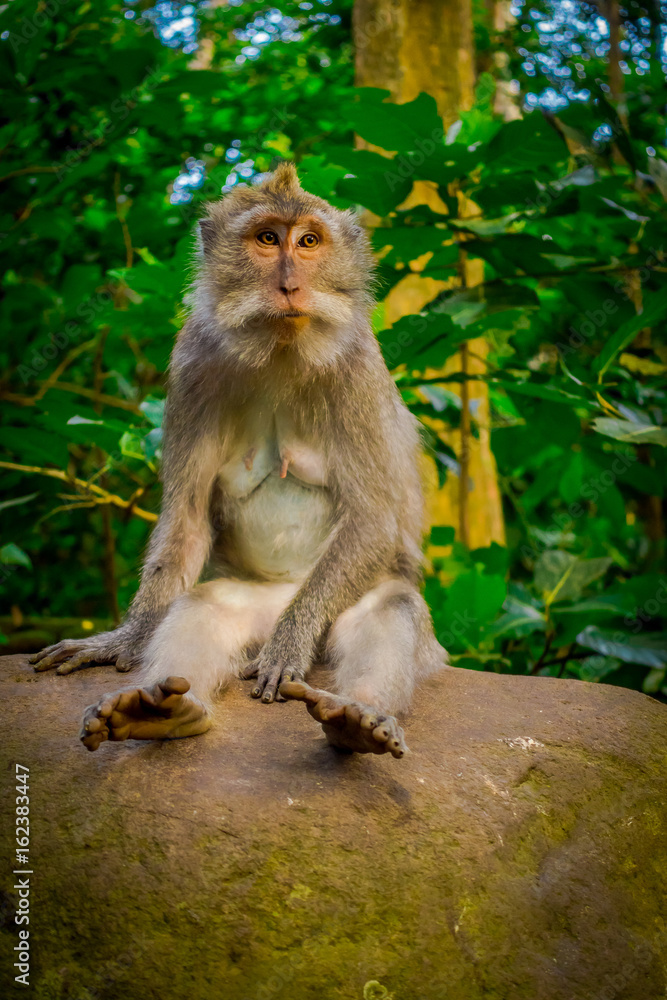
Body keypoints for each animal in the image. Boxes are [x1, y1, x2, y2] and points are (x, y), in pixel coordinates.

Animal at [31, 164, 448, 756]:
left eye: (309, 241)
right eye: (268, 238)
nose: (290, 285)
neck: (279, 348)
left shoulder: (357, 370)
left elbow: (372, 519)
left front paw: (289, 649)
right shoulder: (192, 365)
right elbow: (185, 519)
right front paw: (121, 639)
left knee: (392, 608)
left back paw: (357, 717)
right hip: (254, 602)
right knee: (205, 605)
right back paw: (162, 711)